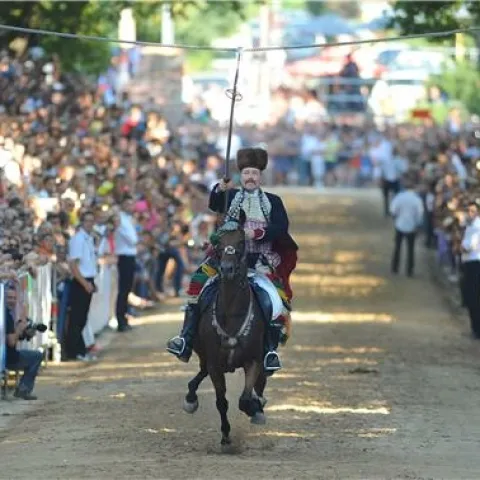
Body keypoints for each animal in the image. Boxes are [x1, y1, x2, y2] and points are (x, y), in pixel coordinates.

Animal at [182, 213, 268, 446]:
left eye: (241, 241)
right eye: (218, 242)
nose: (227, 269)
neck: (231, 314)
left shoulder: (253, 360)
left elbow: (245, 399)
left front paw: (255, 408)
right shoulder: (214, 364)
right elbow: (222, 401)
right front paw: (226, 435)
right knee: (201, 371)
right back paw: (190, 398)